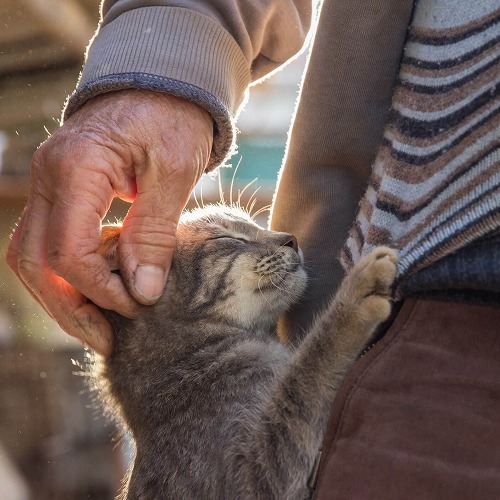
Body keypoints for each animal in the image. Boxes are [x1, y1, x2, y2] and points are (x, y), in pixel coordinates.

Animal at [93, 205, 398, 498]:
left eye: (254, 225)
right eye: (227, 238)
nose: (291, 239)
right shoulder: (249, 475)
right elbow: (308, 371)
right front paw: (354, 296)